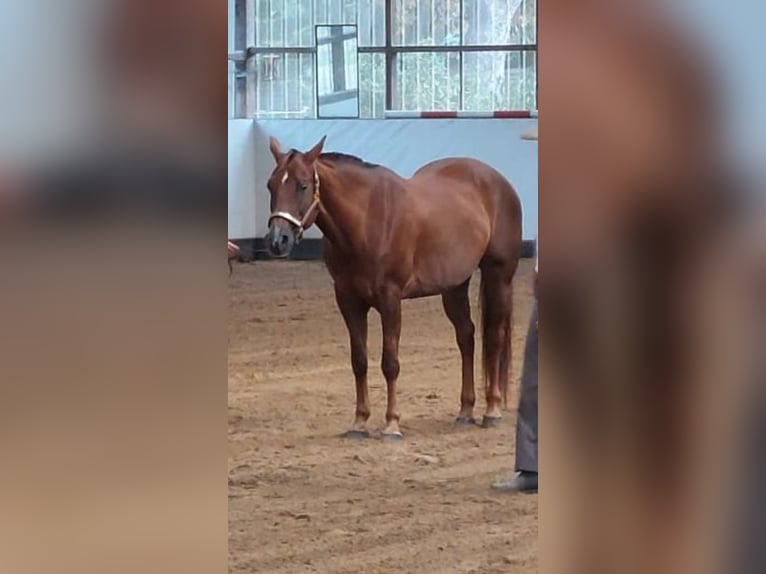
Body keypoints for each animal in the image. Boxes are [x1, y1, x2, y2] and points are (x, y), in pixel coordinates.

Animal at [268, 136, 524, 440]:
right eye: (270, 185)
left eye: (303, 185)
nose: (278, 240)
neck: (366, 220)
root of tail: (499, 181)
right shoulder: (348, 301)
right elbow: (359, 361)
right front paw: (359, 423)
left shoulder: (390, 299)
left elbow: (390, 363)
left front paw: (392, 424)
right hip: (454, 286)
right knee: (467, 337)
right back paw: (465, 411)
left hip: (499, 275)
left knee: (494, 337)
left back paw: (492, 410)